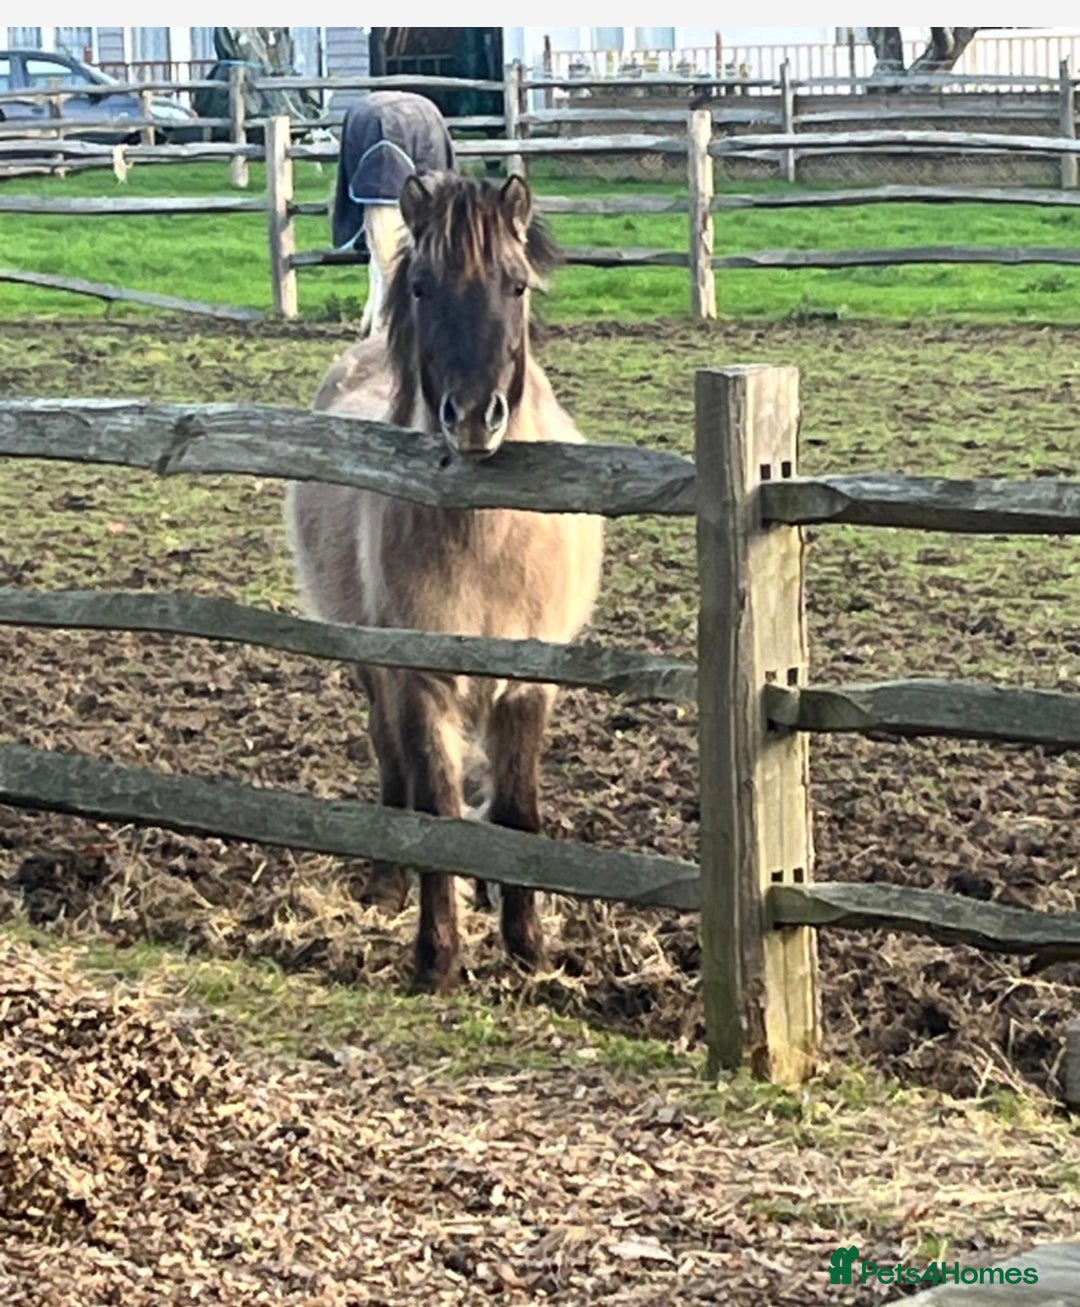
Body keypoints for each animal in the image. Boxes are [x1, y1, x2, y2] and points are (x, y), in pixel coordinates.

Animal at [286, 172, 604, 994]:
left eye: (516, 284)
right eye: (424, 287)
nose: (472, 417)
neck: (488, 539)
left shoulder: (528, 682)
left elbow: (518, 806)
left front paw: (527, 945)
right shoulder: (421, 677)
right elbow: (435, 803)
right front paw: (437, 954)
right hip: (372, 664)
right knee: (392, 762)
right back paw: (389, 882)